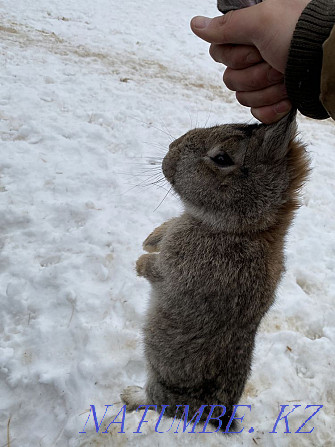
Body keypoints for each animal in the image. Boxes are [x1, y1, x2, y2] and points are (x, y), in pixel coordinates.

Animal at [122, 112, 312, 434]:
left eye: (222, 158)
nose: (171, 149)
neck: (246, 229)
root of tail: (217, 415)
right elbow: (164, 232)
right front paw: (149, 240)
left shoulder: (177, 269)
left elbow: (156, 271)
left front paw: (139, 262)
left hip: (165, 385)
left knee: (155, 402)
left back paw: (130, 395)